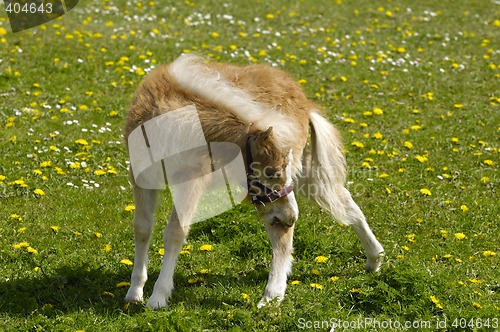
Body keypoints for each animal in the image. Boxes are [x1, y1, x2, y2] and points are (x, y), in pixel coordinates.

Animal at [124, 53, 382, 308]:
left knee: (284, 235)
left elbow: (176, 232)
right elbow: (142, 227)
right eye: (270, 172)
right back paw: (374, 258)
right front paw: (135, 291)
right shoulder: (141, 178)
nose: (291, 217)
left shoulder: (191, 181)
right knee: (341, 198)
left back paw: (271, 295)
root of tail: (303, 99)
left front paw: (158, 296)